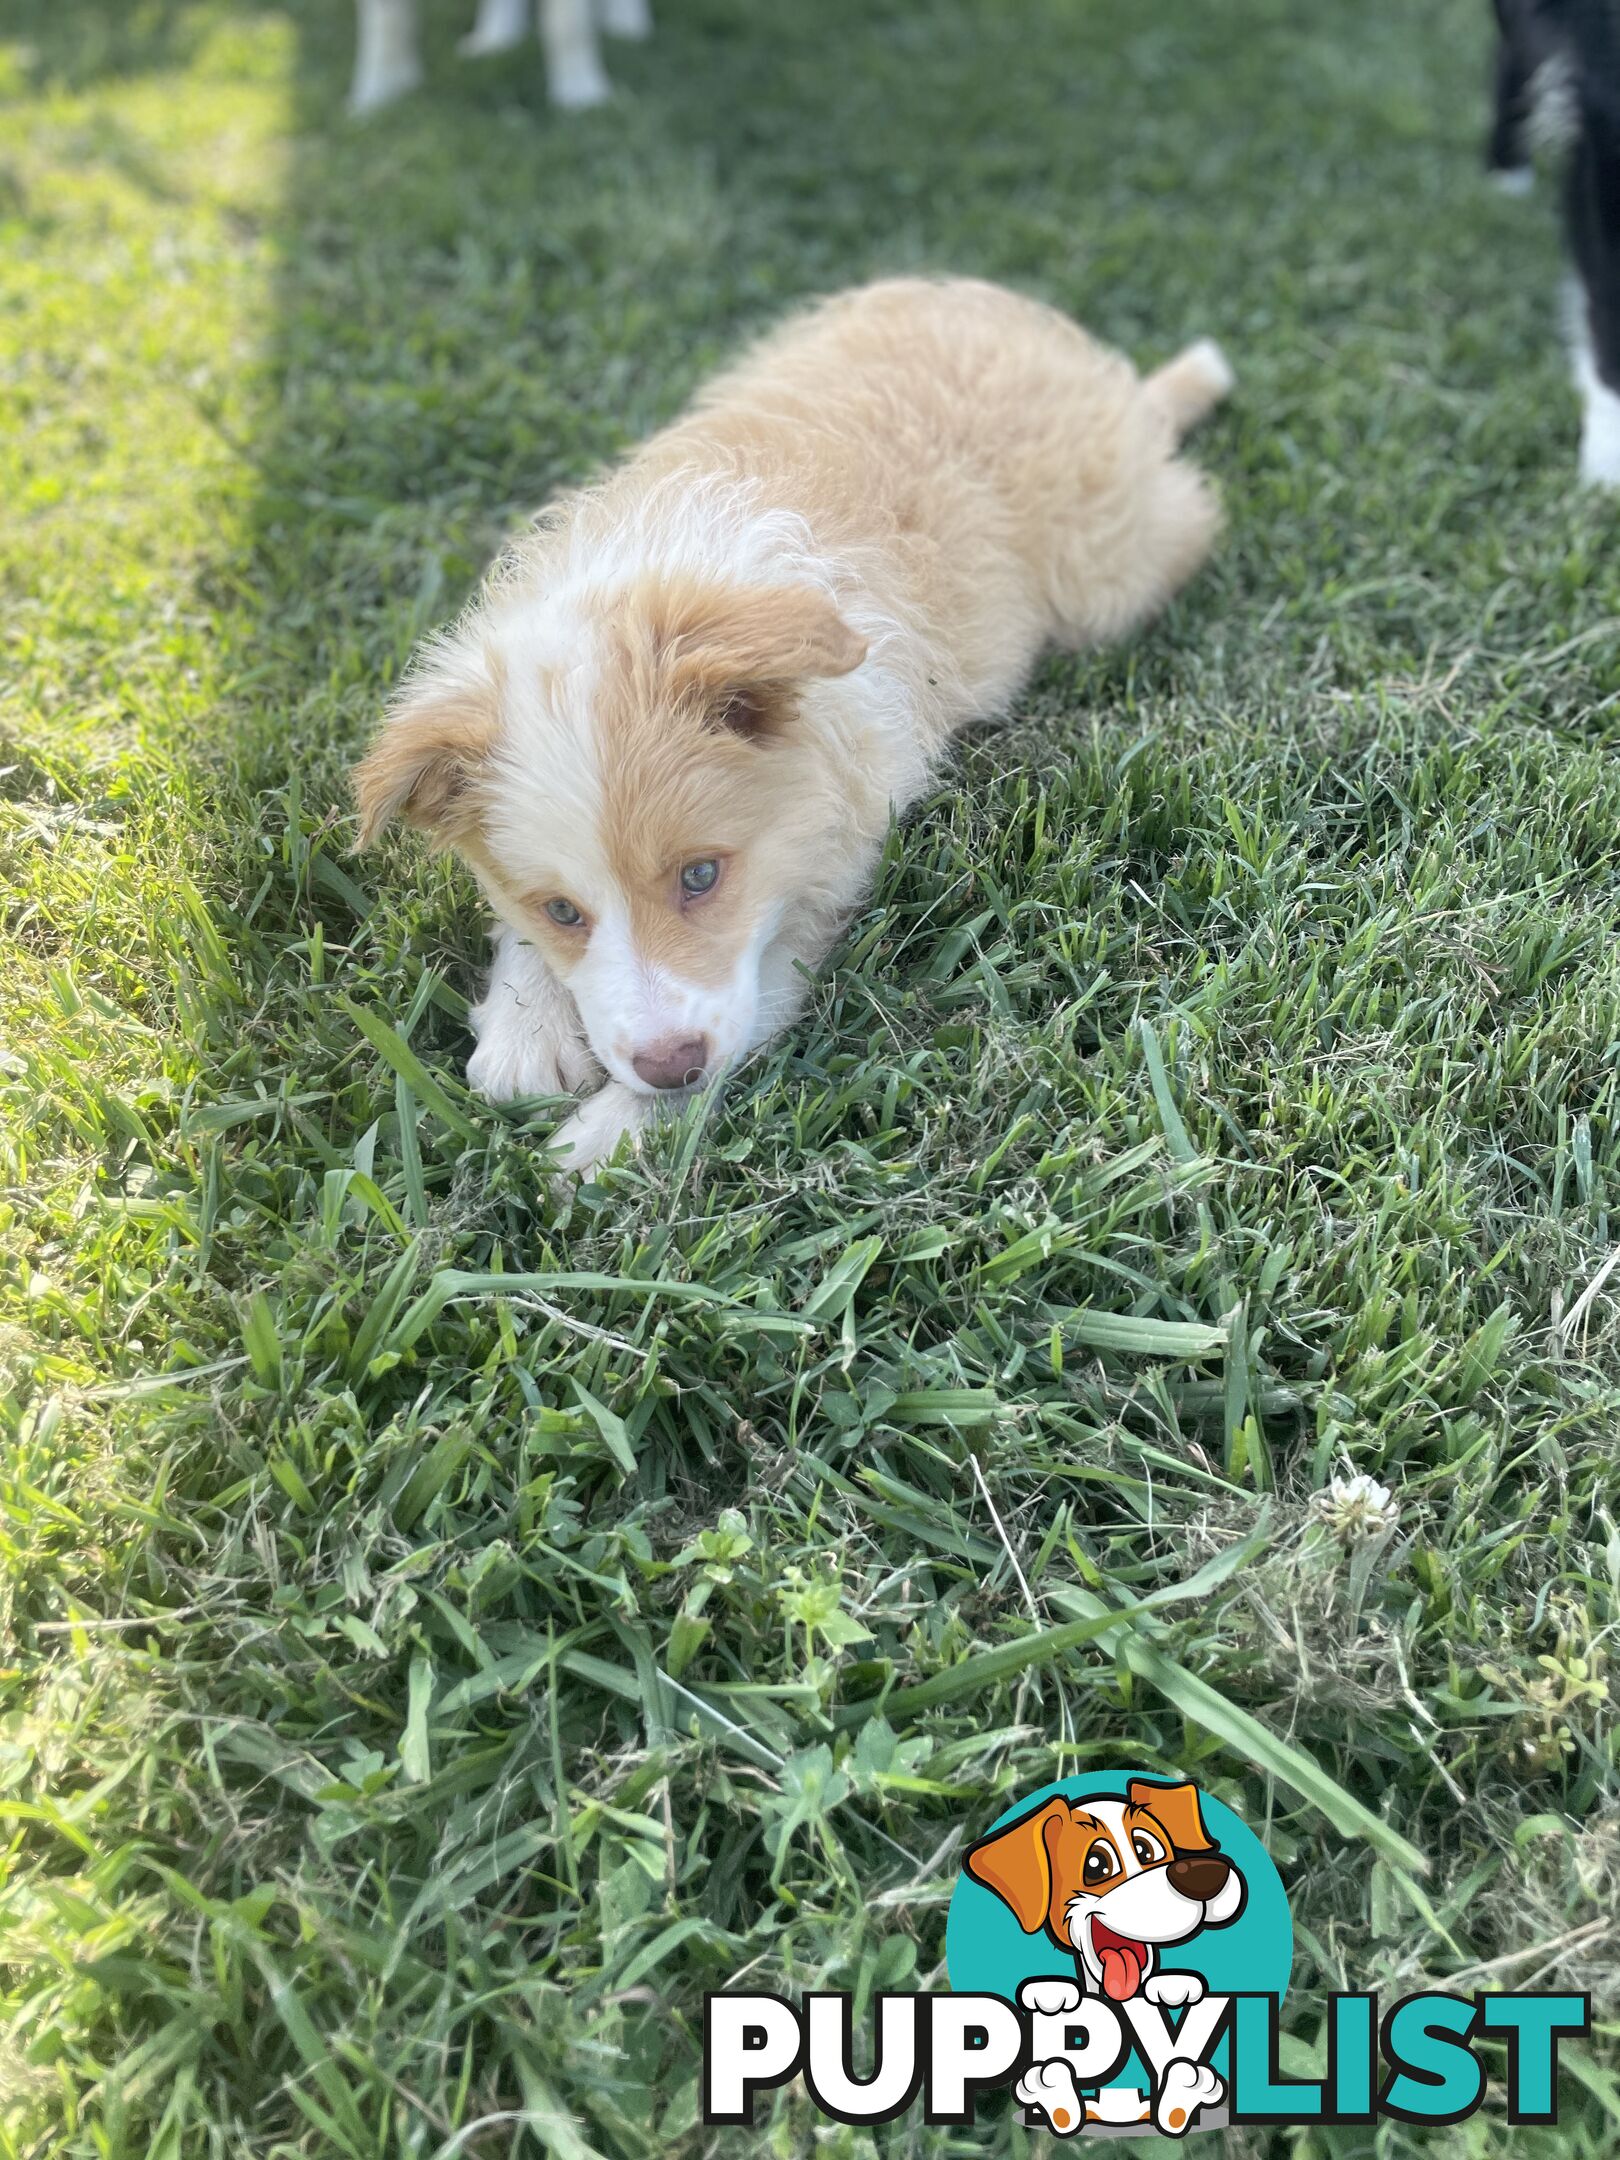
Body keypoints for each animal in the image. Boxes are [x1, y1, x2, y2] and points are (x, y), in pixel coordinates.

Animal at [354, 285, 1235, 1175]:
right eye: (563, 911)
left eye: (700, 877)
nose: (666, 1064)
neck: (652, 578)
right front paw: (524, 1026)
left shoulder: (834, 858)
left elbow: (757, 997)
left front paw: (606, 1139)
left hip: (1107, 576)